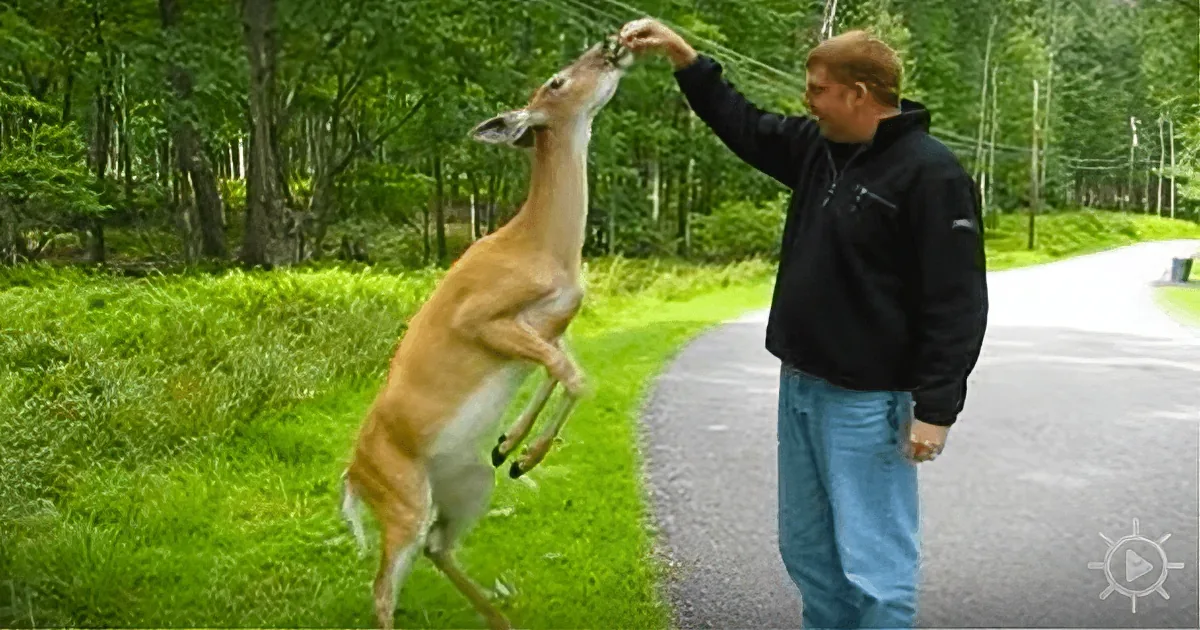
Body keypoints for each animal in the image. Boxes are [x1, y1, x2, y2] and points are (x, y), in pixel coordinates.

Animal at [338, 35, 634, 630]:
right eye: (557, 80)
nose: (608, 46)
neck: (544, 248)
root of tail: (352, 476)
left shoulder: (551, 321)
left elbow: (563, 369)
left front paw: (510, 446)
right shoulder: (478, 315)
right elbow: (572, 375)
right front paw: (527, 452)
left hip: (467, 486)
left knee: (436, 545)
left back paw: (500, 618)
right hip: (400, 495)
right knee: (382, 588)